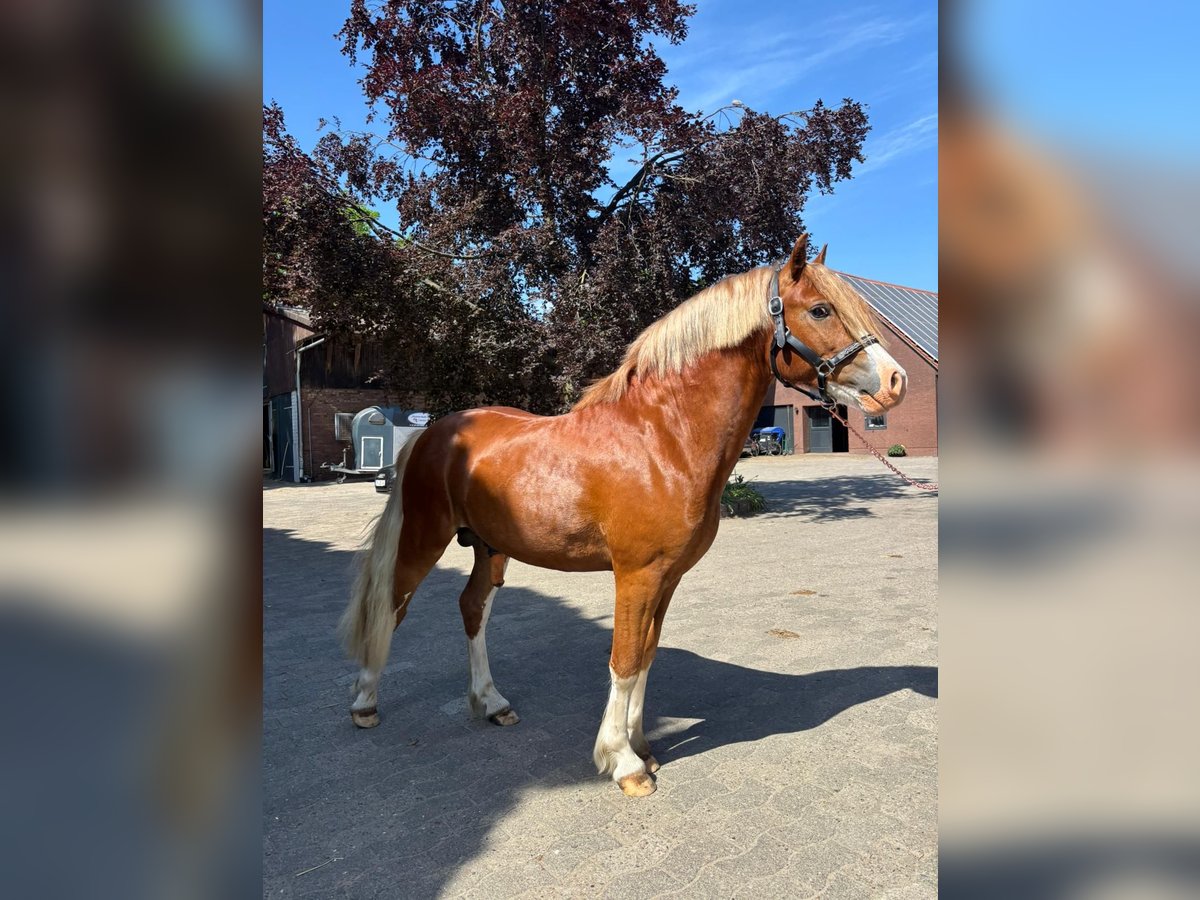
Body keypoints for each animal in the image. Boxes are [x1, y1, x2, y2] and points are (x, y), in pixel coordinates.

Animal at [338, 234, 908, 797]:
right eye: (820, 309)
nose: (895, 381)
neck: (663, 438)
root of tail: (431, 433)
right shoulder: (635, 574)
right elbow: (625, 659)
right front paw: (624, 763)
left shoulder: (667, 577)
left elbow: (647, 656)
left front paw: (643, 746)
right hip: (425, 537)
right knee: (392, 605)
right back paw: (365, 704)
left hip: (489, 547)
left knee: (472, 607)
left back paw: (493, 703)